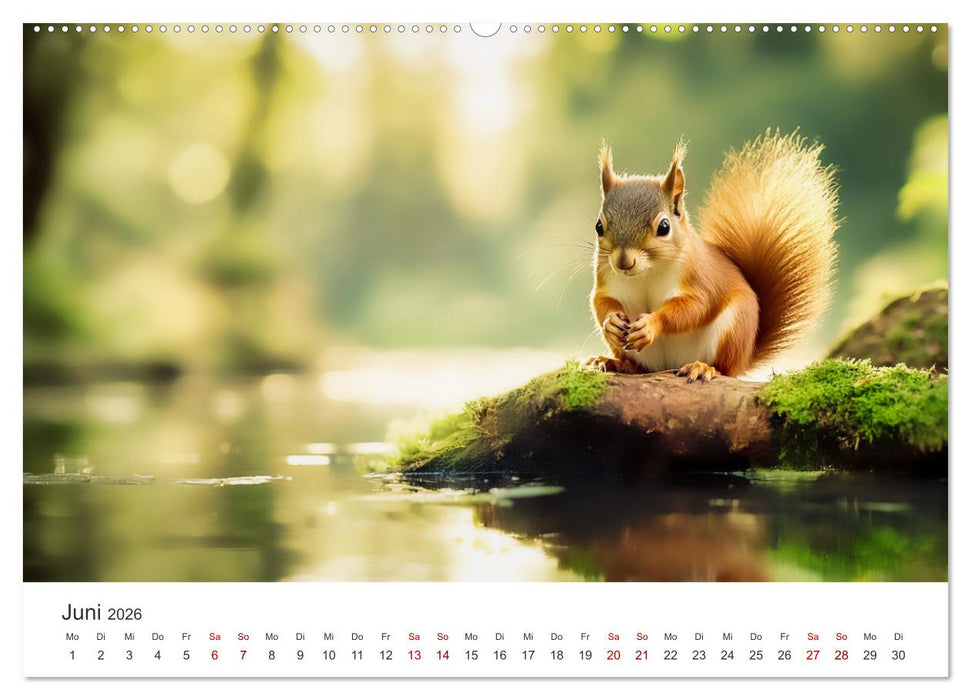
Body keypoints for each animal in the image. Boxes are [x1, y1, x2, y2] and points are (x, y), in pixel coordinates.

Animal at [590, 129, 839, 382]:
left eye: (664, 227)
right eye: (599, 226)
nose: (623, 262)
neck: (647, 272)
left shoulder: (699, 277)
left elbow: (697, 306)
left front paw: (651, 324)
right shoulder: (605, 278)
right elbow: (600, 301)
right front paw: (611, 322)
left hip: (734, 327)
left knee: (725, 368)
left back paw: (703, 368)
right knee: (639, 367)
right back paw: (613, 362)